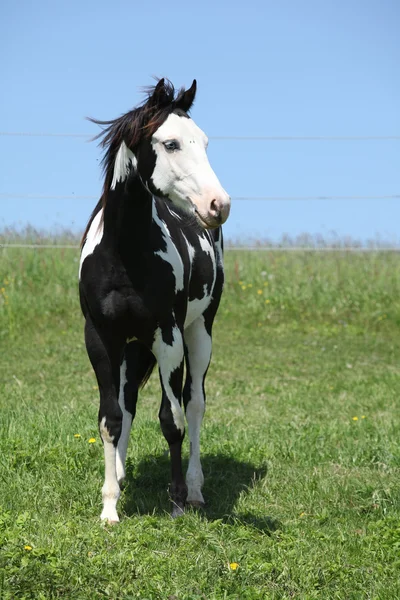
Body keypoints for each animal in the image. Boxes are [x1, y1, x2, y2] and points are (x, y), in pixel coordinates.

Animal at [79, 78, 228, 520]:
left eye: (204, 142)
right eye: (171, 143)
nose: (219, 204)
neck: (124, 253)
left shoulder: (169, 337)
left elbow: (171, 419)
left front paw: (177, 500)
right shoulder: (101, 339)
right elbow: (110, 418)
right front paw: (110, 506)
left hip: (199, 333)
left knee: (194, 405)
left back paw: (194, 490)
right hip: (132, 347)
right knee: (127, 402)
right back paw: (121, 474)